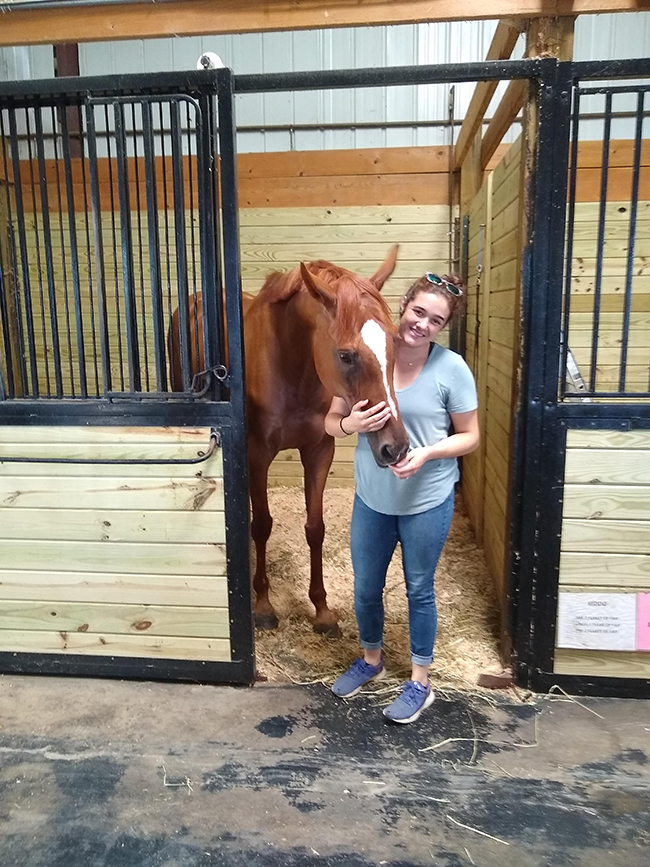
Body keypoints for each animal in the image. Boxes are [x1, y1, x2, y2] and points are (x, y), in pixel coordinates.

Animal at [170, 245, 409, 637]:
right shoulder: (256, 454)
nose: (397, 447)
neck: (291, 364)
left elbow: (315, 528)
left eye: (394, 343)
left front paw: (322, 609)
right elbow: (262, 525)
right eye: (345, 355)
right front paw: (264, 606)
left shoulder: (319, 451)